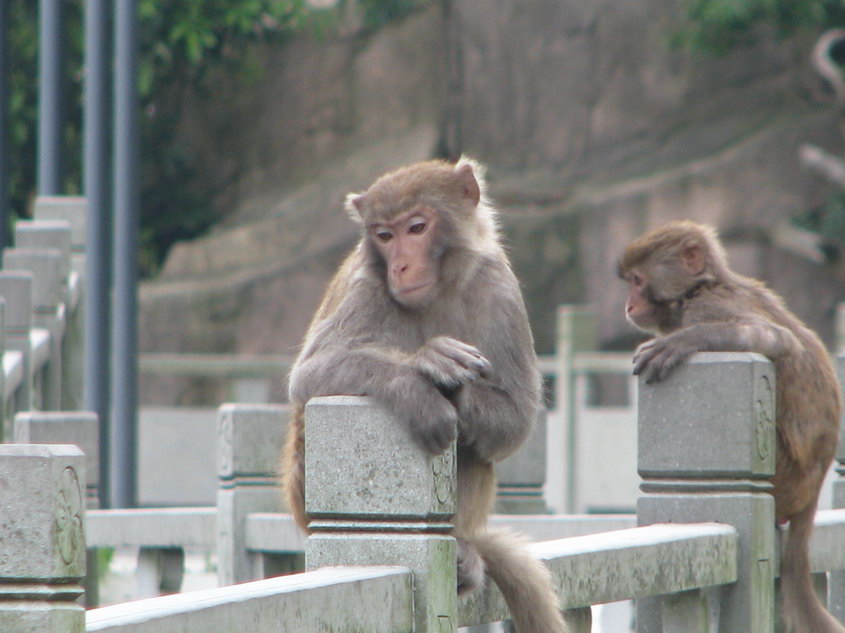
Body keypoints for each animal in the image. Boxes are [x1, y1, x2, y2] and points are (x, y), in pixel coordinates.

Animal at [282, 158, 568, 632]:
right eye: (384, 235)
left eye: (416, 228)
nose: (399, 266)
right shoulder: (366, 283)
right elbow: (310, 375)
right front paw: (423, 373)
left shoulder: (500, 286)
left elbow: (517, 417)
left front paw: (457, 388)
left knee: (475, 446)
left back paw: (465, 552)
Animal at [616, 218, 840, 632]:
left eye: (637, 281)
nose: (628, 304)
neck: (699, 289)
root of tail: (813, 491)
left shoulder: (708, 309)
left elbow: (776, 339)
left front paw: (688, 340)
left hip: (784, 477)